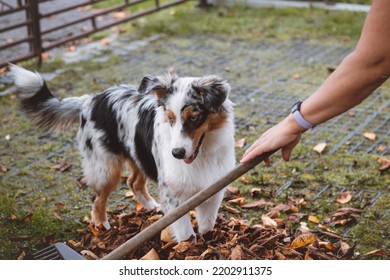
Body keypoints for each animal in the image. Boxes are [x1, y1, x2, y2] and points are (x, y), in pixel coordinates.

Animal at [9, 64, 235, 242]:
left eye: (194, 118)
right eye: (170, 118)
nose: (177, 153)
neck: (203, 154)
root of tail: (91, 100)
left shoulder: (212, 187)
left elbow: (207, 223)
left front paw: (206, 240)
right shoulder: (172, 192)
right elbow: (185, 230)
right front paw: (190, 247)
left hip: (138, 154)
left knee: (133, 183)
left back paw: (151, 207)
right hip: (106, 168)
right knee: (97, 200)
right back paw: (103, 228)